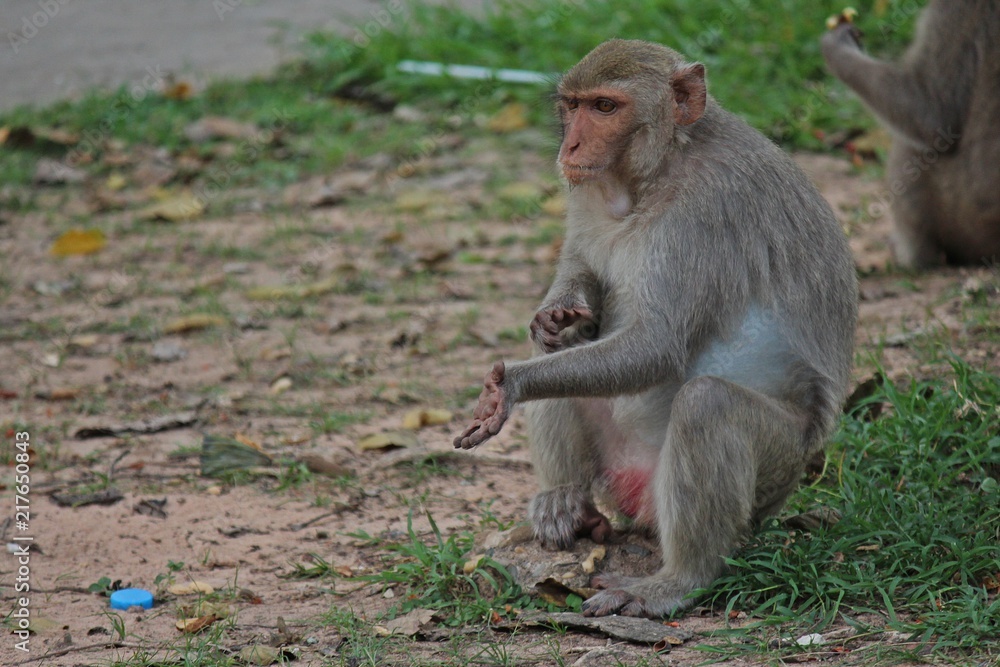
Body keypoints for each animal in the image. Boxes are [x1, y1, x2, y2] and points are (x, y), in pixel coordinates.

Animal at [454, 39, 858, 618]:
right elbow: (578, 272)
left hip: (777, 471)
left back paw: (678, 580)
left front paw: (511, 385)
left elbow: (656, 347)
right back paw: (566, 502)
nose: (572, 144)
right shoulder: (588, 189)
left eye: (605, 107)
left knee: (707, 404)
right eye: (573, 105)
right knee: (566, 366)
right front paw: (557, 315)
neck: (657, 170)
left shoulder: (704, 214)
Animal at [822, 2, 1000, 268]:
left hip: (962, 218)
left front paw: (837, 47)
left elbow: (935, 116)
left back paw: (914, 257)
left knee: (909, 148)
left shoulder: (956, 9)